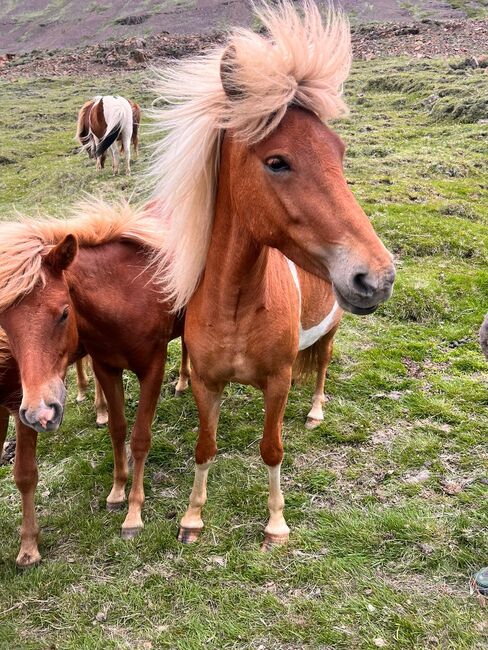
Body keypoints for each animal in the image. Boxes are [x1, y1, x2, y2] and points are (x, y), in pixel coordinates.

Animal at [0, 200, 189, 564]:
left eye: (63, 313)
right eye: (4, 324)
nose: (40, 412)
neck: (126, 293)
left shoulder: (153, 369)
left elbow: (140, 438)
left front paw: (133, 514)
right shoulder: (106, 368)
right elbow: (117, 429)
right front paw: (117, 492)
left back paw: (185, 382)